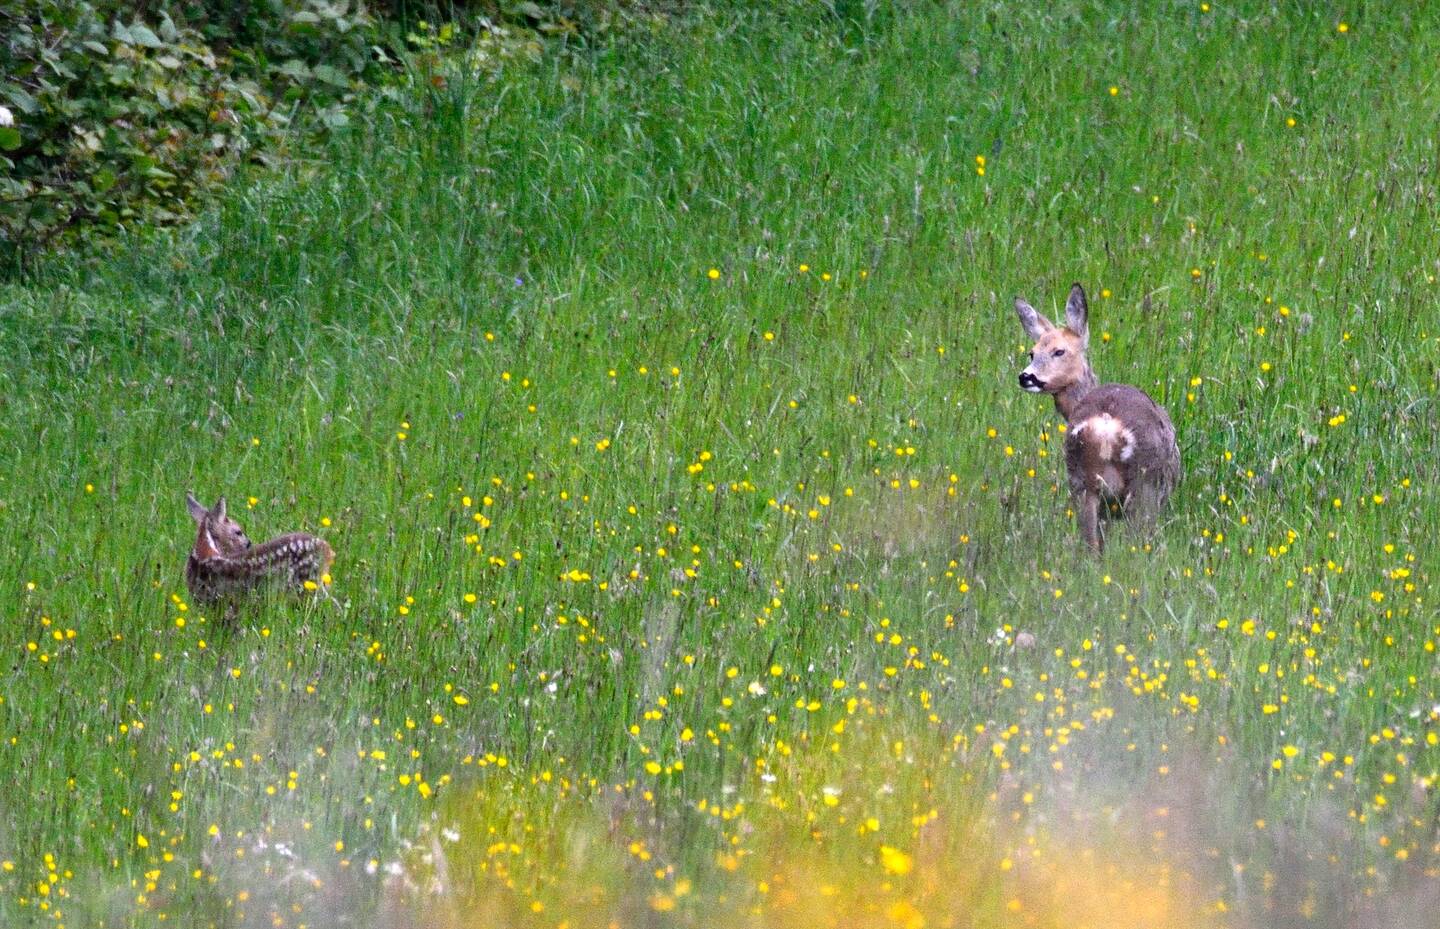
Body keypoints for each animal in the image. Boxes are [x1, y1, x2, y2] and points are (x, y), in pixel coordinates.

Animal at [1012, 283, 1181, 551]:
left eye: (1058, 351)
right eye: (1033, 353)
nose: (1026, 376)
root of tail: (1105, 428)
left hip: (1081, 483)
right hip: (1145, 485)